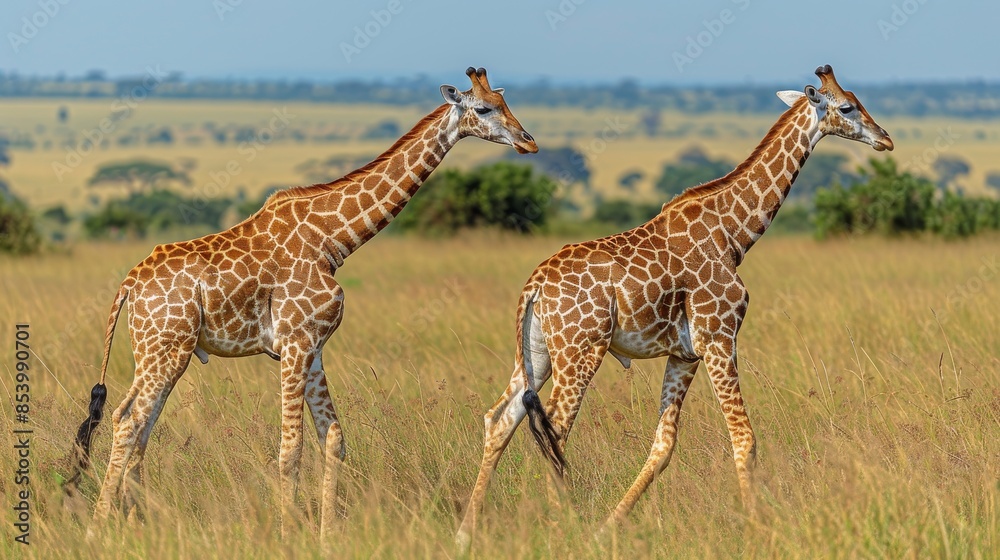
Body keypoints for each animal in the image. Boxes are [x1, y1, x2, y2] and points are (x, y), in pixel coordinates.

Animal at [67, 67, 538, 537]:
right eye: (483, 109)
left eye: (504, 101)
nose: (529, 141)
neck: (332, 239)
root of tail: (129, 283)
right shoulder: (295, 342)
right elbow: (290, 448)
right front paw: (288, 534)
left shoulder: (313, 347)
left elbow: (334, 438)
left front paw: (327, 534)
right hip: (165, 347)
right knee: (129, 421)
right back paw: (97, 530)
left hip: (159, 350)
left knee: (136, 422)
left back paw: (136, 524)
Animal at [455, 65, 893, 548]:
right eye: (848, 107)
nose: (885, 139)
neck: (733, 233)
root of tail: (533, 288)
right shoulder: (719, 338)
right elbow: (744, 437)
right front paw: (757, 528)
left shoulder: (685, 354)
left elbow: (663, 445)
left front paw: (608, 528)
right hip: (580, 351)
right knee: (554, 429)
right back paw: (560, 526)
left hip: (536, 353)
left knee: (501, 421)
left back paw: (466, 532)